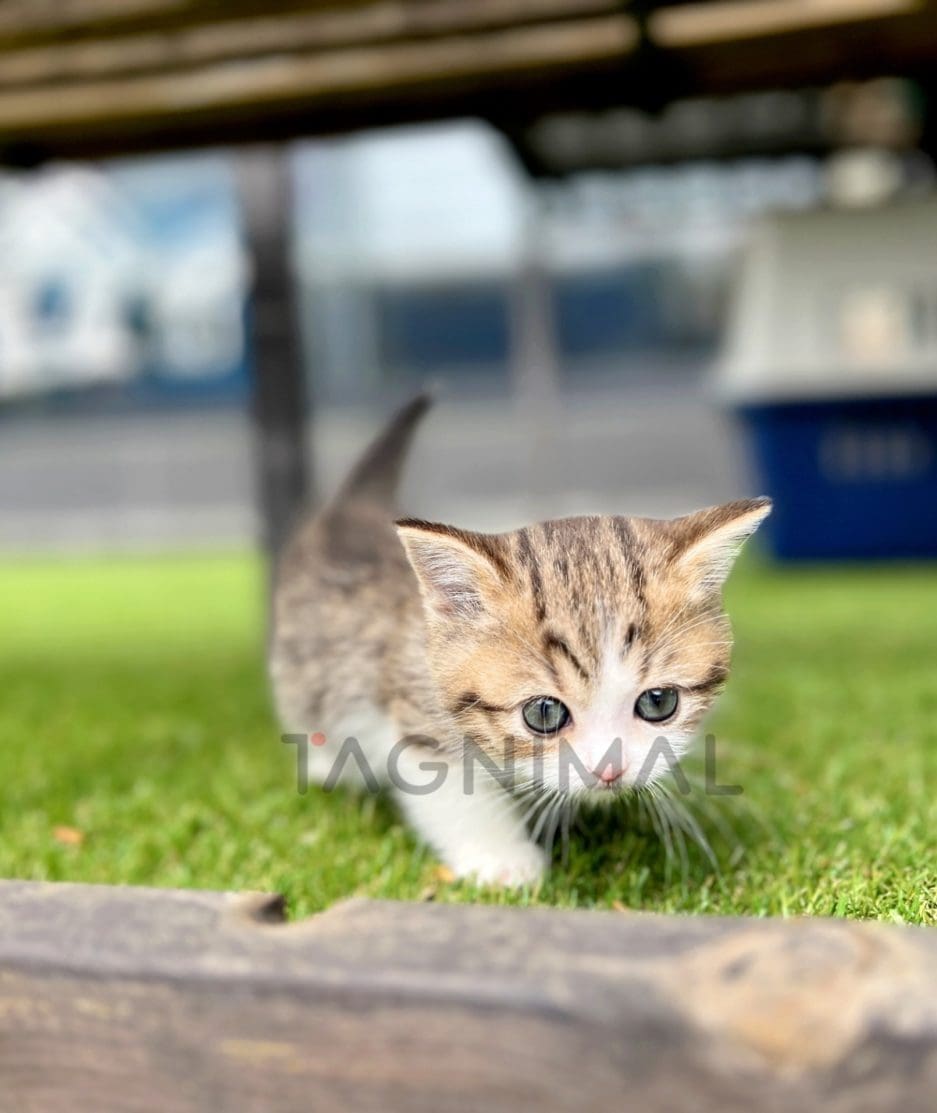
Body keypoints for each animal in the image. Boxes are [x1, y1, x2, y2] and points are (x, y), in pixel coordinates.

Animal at [268, 394, 765, 885]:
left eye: (659, 703)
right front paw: (502, 858)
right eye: (543, 713)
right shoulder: (414, 707)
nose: (609, 770)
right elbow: (450, 788)